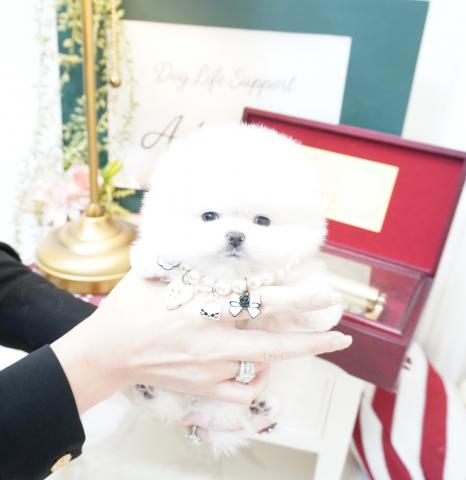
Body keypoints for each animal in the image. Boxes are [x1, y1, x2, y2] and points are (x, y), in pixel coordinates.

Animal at [128, 124, 342, 455]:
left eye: (262, 221)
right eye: (209, 216)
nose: (235, 236)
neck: (231, 275)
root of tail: (204, 412)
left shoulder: (291, 280)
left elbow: (303, 286)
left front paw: (323, 306)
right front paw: (154, 261)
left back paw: (259, 406)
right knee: (168, 406)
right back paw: (146, 390)